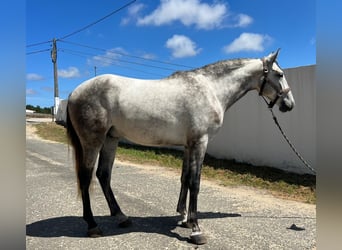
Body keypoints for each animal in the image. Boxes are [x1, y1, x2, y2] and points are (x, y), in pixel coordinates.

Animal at [66, 49, 294, 245]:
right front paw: (196, 229)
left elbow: (185, 178)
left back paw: (122, 217)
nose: (289, 105)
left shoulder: (188, 145)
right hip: (93, 141)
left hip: (111, 139)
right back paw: (93, 226)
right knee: (86, 177)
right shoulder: (200, 142)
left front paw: (184, 218)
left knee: (104, 175)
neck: (211, 89)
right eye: (280, 74)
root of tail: (75, 92)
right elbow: (195, 182)